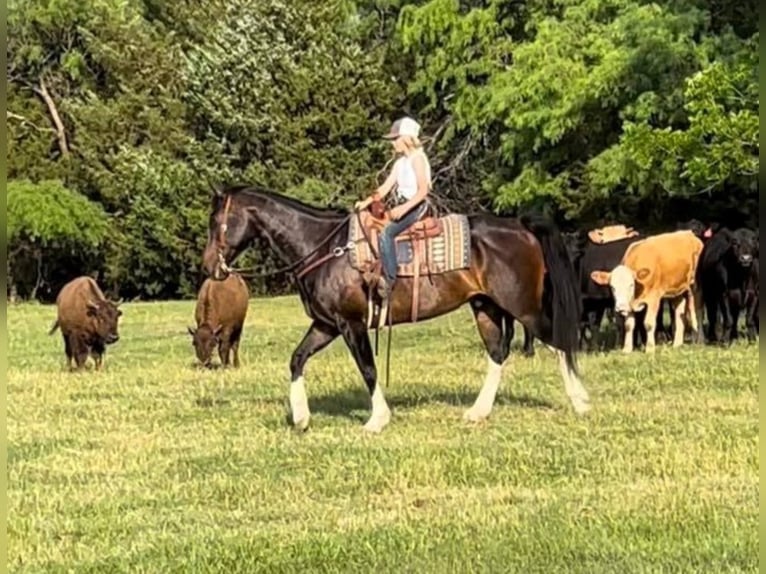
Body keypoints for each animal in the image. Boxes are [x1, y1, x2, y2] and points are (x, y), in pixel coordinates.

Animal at [201, 184, 592, 432]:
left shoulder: (352, 324)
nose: (208, 267)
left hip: (524, 308)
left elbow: (368, 369)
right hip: (486, 307)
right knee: (498, 353)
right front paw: (300, 419)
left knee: (560, 342)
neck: (322, 247)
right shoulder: (326, 324)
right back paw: (477, 412)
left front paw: (377, 419)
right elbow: (297, 359)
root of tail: (519, 225)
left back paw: (581, 402)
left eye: (216, 222)